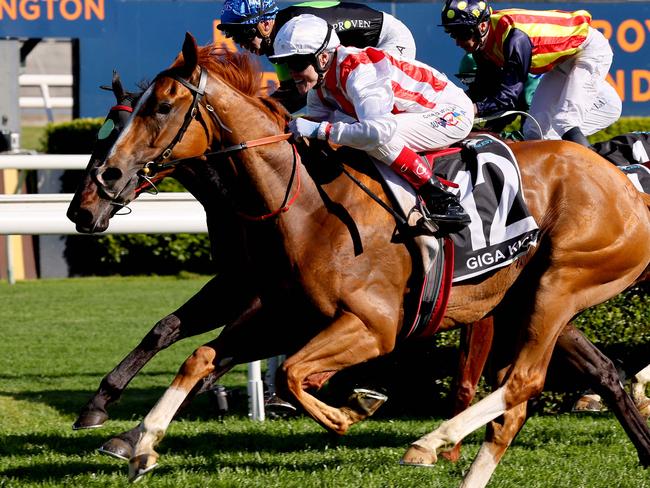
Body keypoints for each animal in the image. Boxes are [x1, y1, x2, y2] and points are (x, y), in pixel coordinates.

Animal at [73, 35, 644, 484]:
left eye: (162, 108)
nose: (96, 192)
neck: (303, 204)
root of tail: (627, 188)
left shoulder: (374, 324)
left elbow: (292, 373)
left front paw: (350, 409)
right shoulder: (283, 310)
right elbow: (202, 355)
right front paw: (140, 441)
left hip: (559, 284)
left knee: (524, 380)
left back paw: (431, 443)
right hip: (526, 299)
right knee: (553, 384)